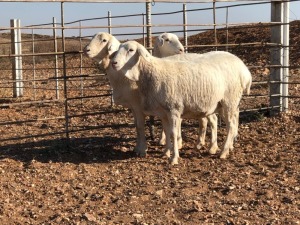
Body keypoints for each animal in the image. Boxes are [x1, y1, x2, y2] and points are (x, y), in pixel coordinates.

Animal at [111, 41, 250, 165]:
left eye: (131, 50)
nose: (114, 63)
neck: (153, 72)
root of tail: (244, 69)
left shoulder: (173, 109)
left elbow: (173, 133)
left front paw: (174, 158)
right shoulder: (163, 112)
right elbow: (166, 131)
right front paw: (166, 152)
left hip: (230, 100)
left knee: (231, 125)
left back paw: (223, 151)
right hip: (220, 103)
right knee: (227, 123)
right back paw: (222, 147)